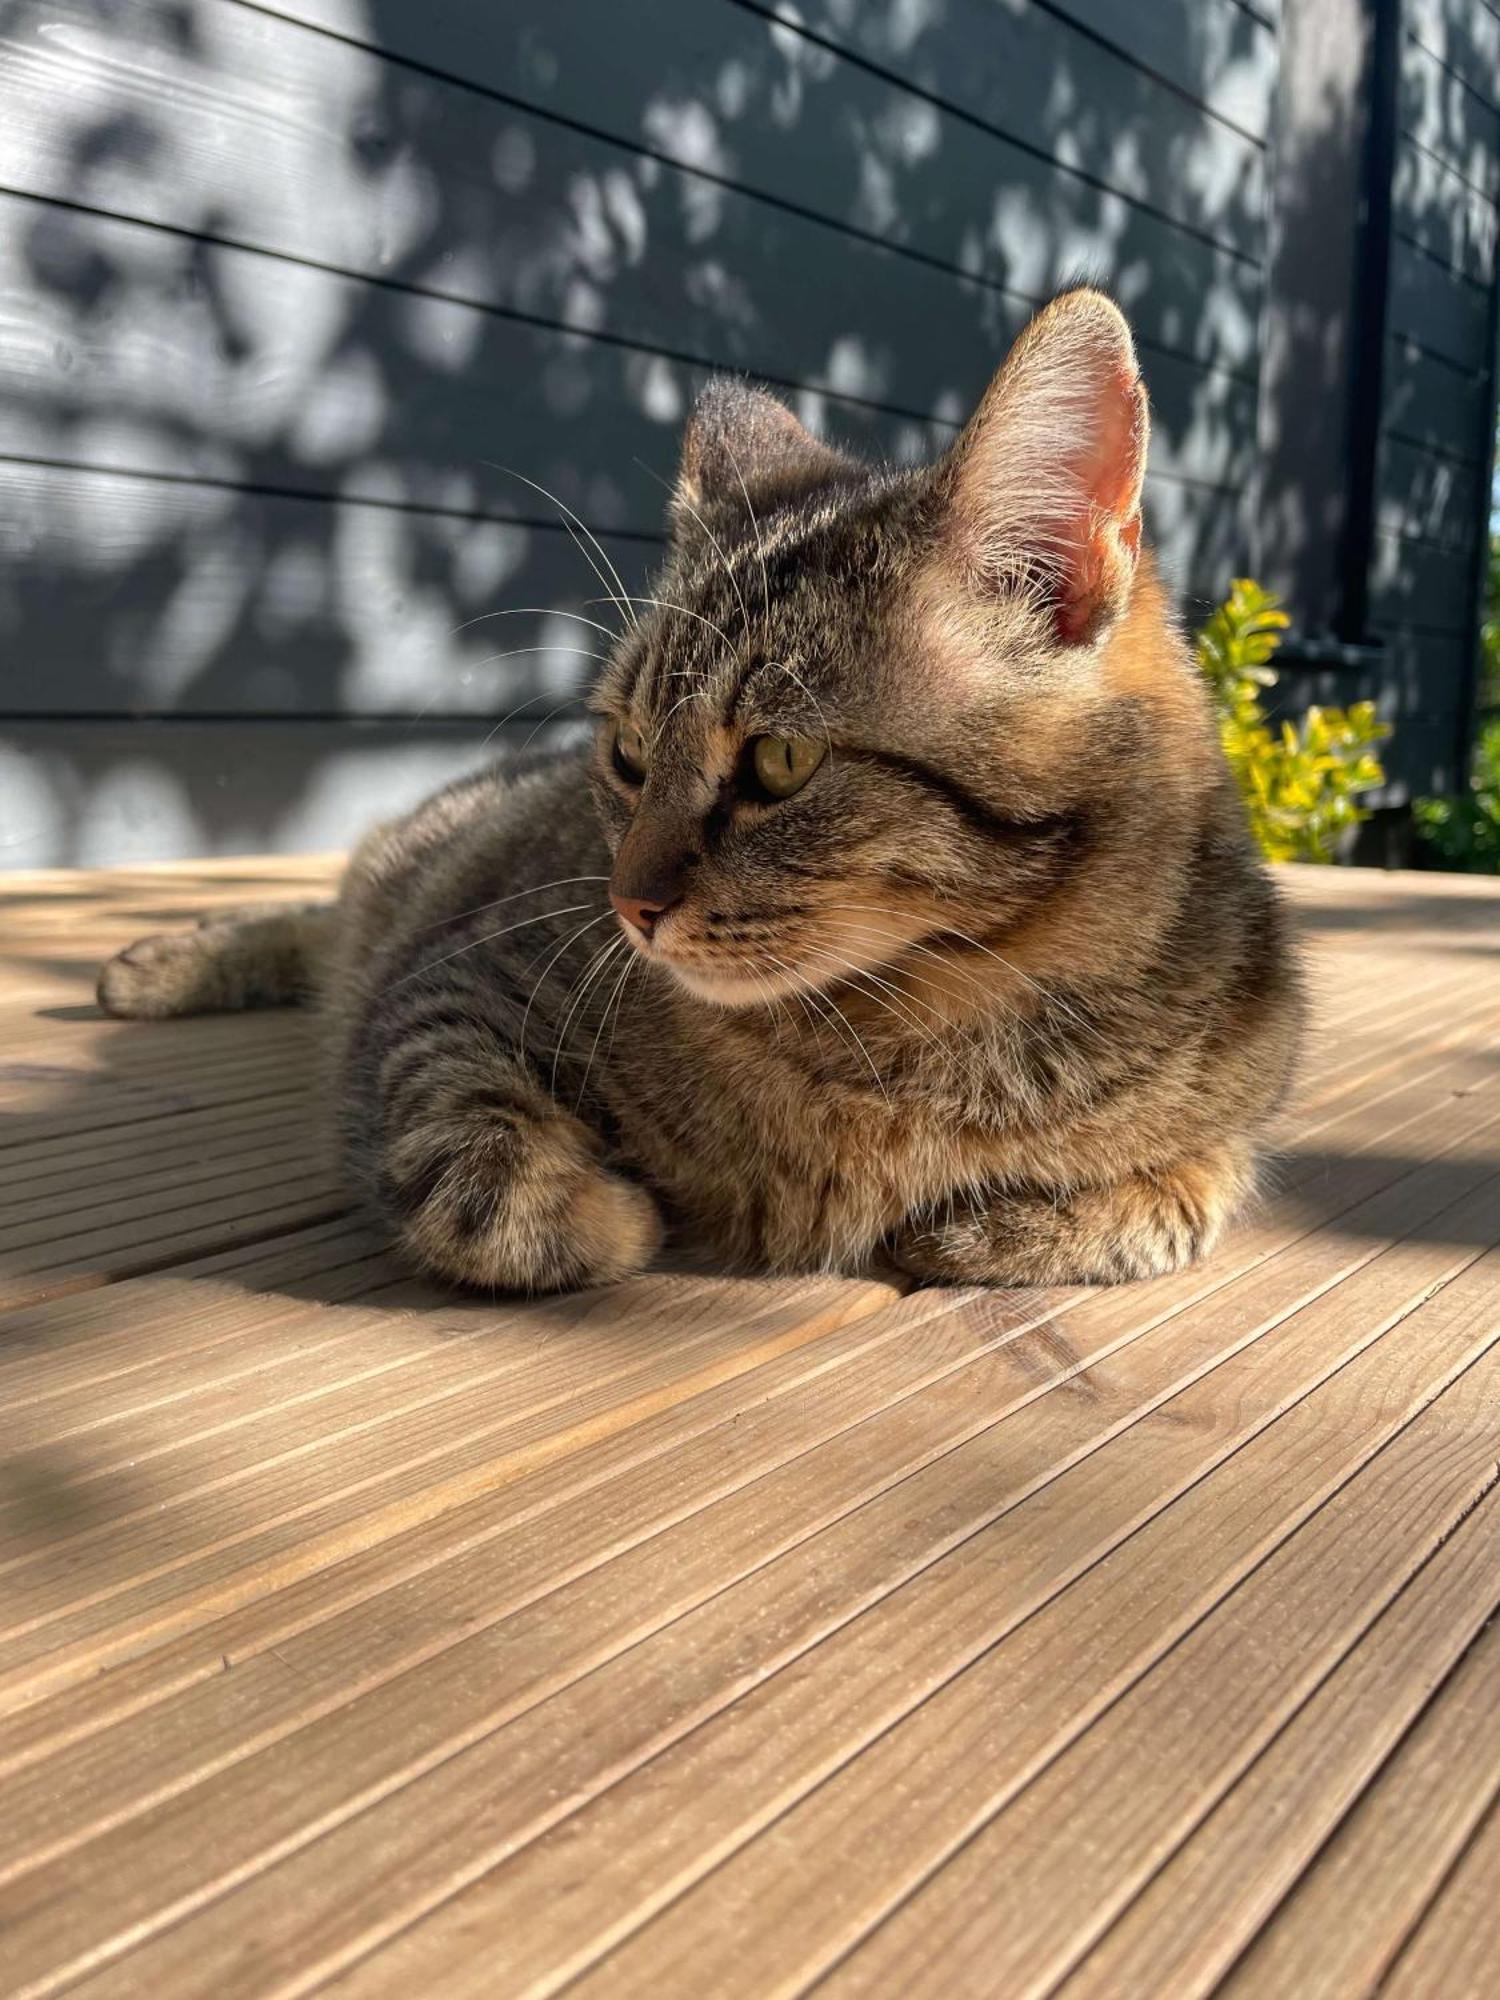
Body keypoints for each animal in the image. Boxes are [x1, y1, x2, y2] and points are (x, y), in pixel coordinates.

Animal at [100, 292, 1312, 1296]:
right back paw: (156, 964)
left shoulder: (1236, 1100)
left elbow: (1182, 1195)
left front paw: (1000, 1226)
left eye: (780, 761)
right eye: (630, 752)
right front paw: (607, 1209)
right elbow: (476, 1166)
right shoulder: (449, 979)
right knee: (327, 913)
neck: (929, 1028)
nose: (627, 908)